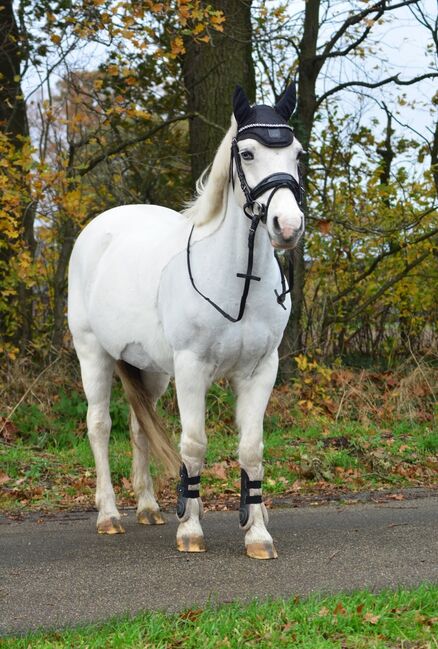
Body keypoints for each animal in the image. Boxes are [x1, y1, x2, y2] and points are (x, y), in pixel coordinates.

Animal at [67, 82, 304, 556]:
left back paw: (147, 507)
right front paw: (191, 530)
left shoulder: (260, 370)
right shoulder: (192, 368)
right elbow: (193, 445)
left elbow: (252, 449)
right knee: (99, 426)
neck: (240, 278)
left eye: (297, 153)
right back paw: (108, 516)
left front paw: (258, 534)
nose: (288, 227)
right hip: (93, 354)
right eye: (247, 153)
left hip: (150, 368)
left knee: (138, 427)